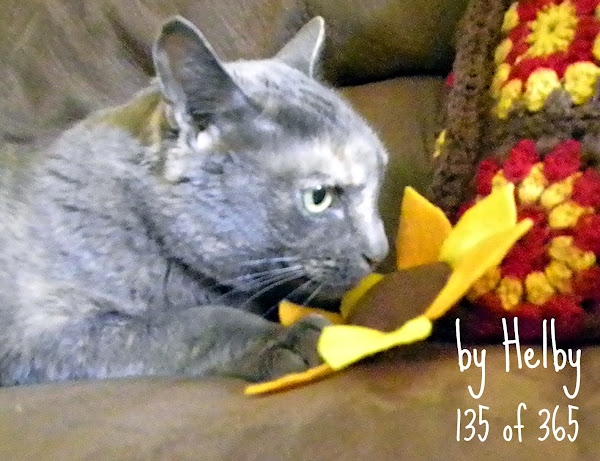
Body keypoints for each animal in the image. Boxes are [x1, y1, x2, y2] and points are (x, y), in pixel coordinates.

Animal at [0, 16, 389, 385]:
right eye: (318, 198)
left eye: (379, 179)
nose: (380, 252)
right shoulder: (39, 334)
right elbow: (194, 323)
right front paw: (289, 338)